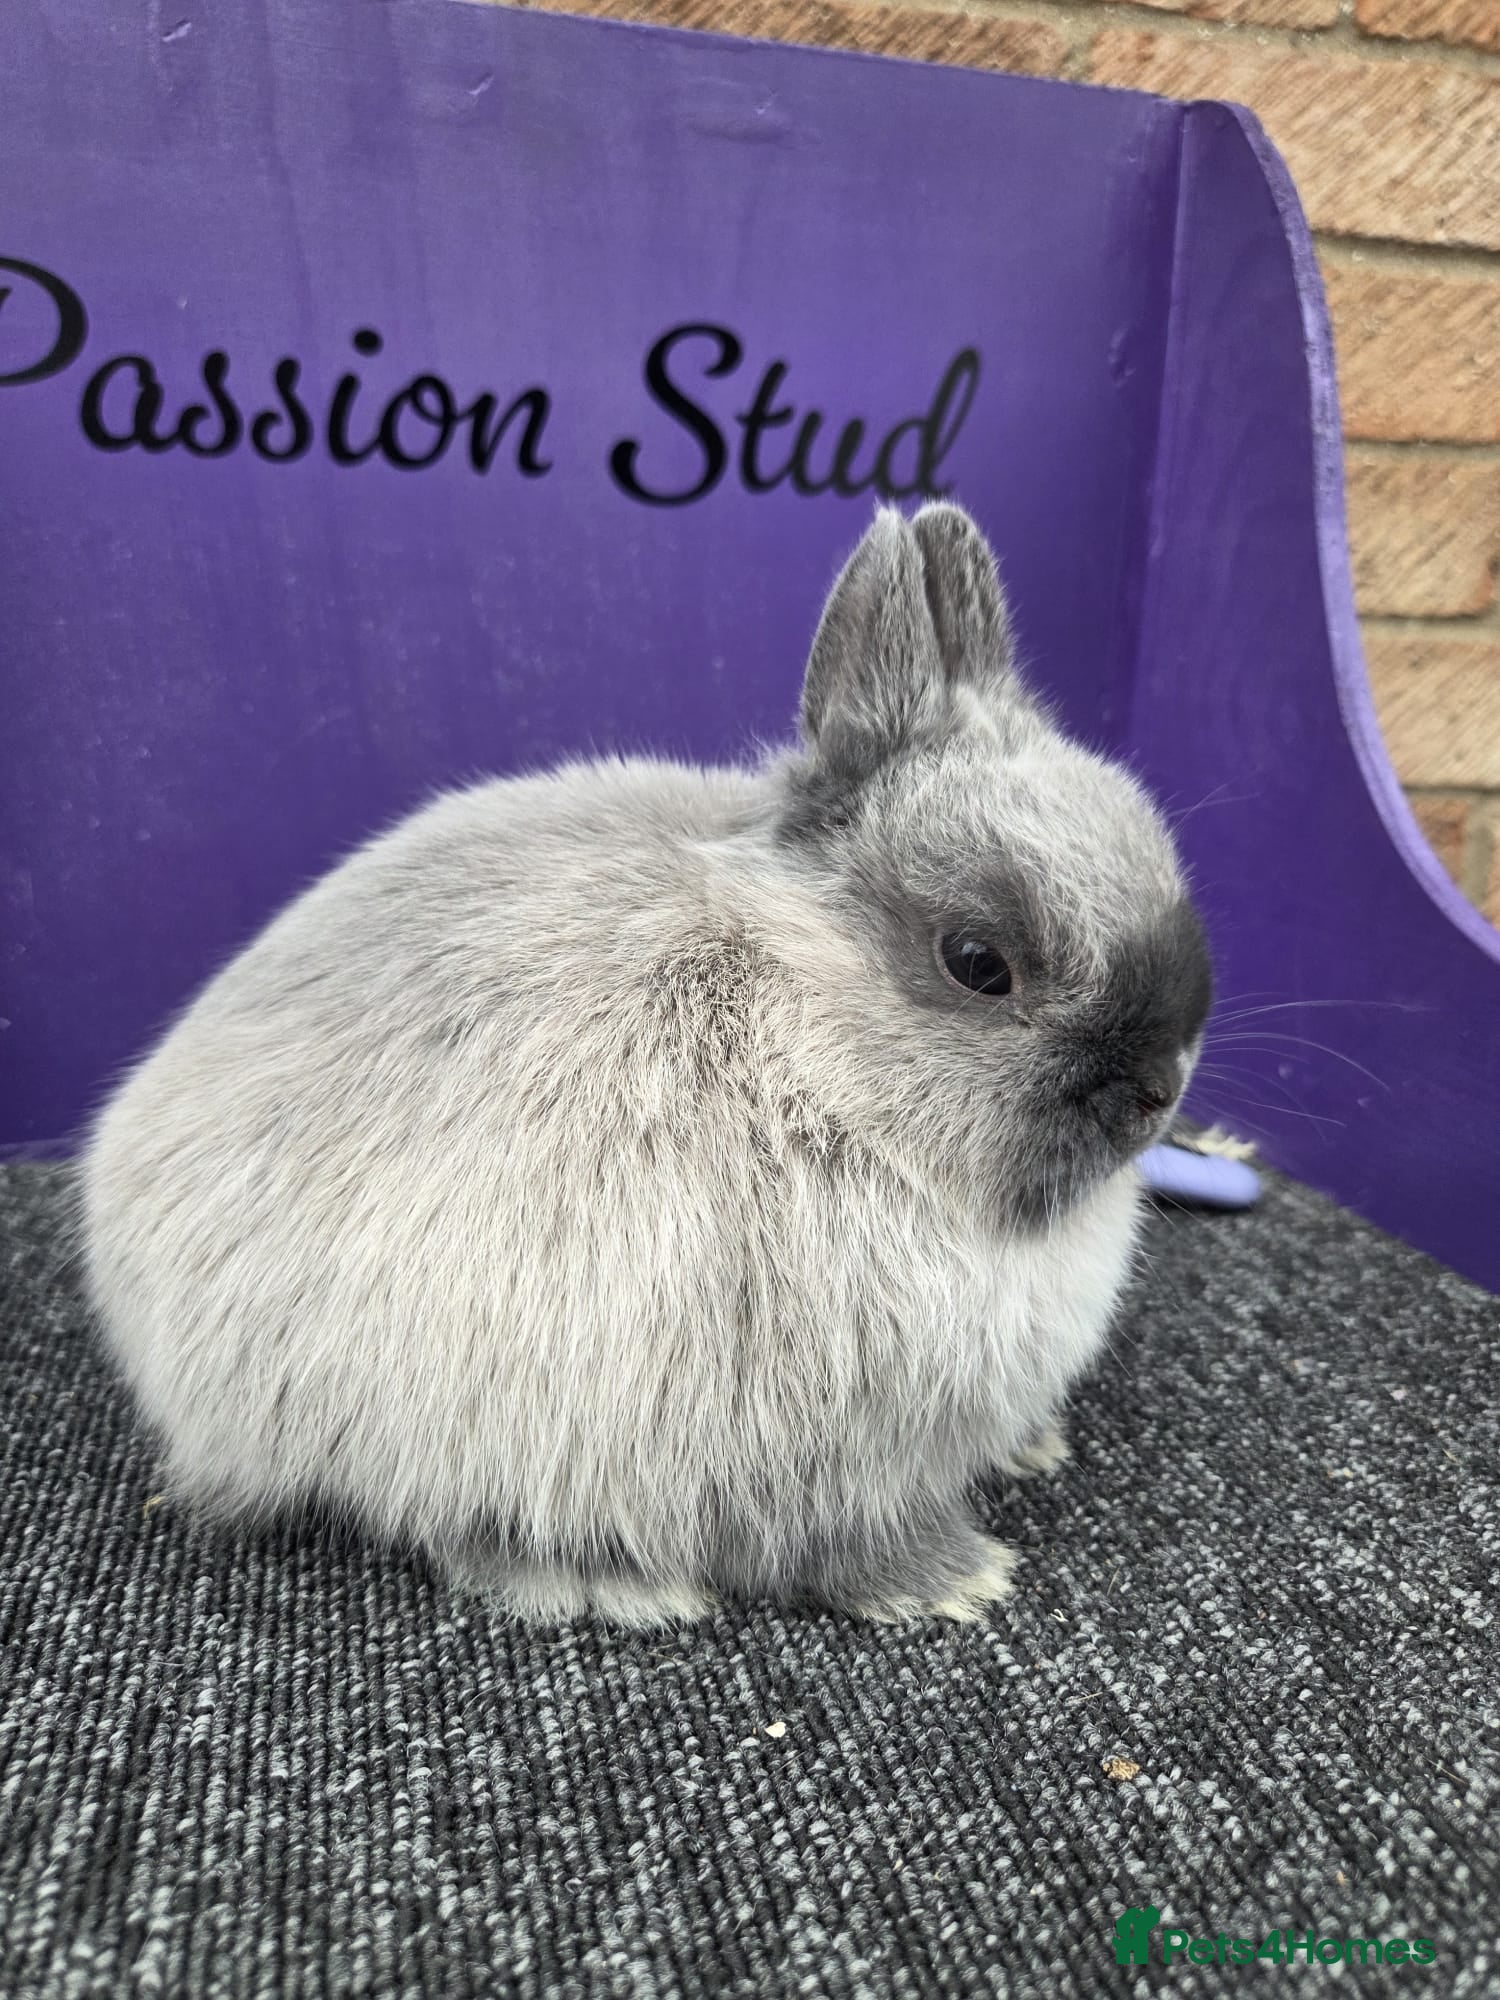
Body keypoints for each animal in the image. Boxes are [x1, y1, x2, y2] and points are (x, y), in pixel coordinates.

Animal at [80, 502, 1211, 1629]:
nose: (1158, 1092)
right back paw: (624, 1586)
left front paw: (1033, 1447)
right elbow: (826, 1537)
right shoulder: (787, 1449)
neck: (804, 1044)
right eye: (978, 963)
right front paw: (954, 1577)